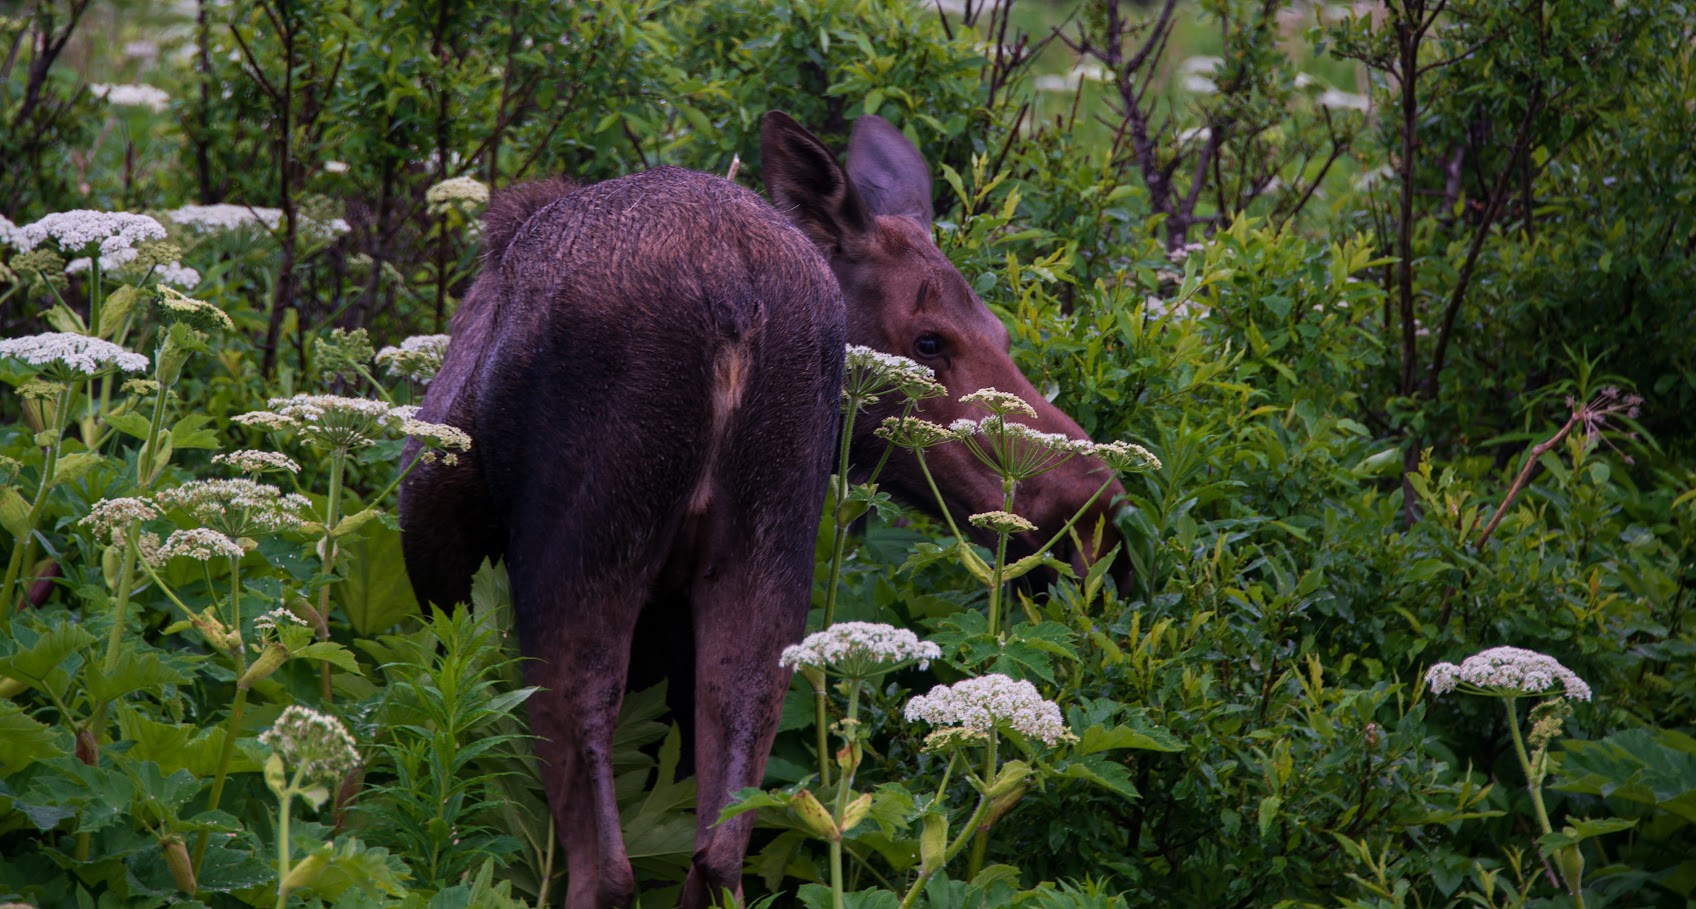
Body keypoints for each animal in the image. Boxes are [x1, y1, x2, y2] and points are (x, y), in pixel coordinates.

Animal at [396, 110, 1126, 902]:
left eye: (1001, 333)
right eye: (930, 339)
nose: (1092, 504)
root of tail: (734, 297)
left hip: (582, 554)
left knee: (608, 866)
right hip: (766, 545)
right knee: (720, 847)